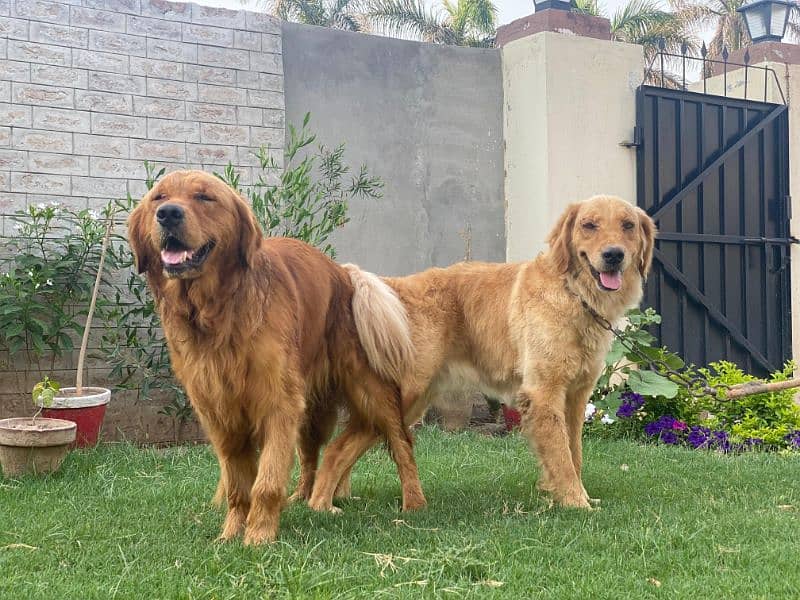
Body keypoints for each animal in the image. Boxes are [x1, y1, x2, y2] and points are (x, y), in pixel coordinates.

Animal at [126, 170, 424, 544]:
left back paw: (413, 502)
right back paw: (304, 495)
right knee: (312, 455)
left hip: (370, 390)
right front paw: (231, 534)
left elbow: (265, 481)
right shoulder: (219, 412)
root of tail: (342, 271)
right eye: (159, 197)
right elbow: (238, 485)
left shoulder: (278, 403)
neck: (217, 313)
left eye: (205, 197)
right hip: (311, 411)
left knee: (401, 442)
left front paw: (259, 538)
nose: (167, 214)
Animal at [308, 196, 656, 510]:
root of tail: (394, 286)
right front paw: (576, 503)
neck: (572, 293)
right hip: (404, 396)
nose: (614, 255)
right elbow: (562, 457)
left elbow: (574, 453)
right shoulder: (544, 393)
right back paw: (322, 506)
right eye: (589, 225)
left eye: (628, 225)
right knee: (337, 448)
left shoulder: (575, 396)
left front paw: (567, 495)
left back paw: (337, 497)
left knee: (342, 447)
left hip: (409, 401)